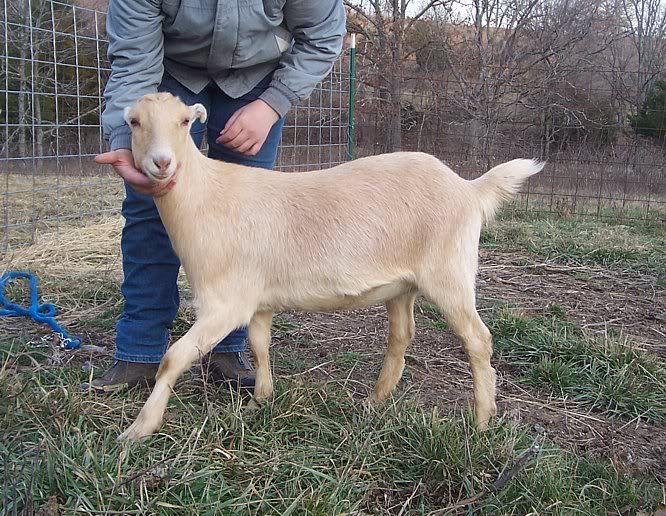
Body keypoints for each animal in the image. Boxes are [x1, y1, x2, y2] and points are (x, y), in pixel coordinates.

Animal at [114, 92, 543, 440]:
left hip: (449, 271)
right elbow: (259, 346)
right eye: (135, 122)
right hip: (403, 285)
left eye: (185, 122)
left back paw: (482, 421)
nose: (162, 163)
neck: (206, 196)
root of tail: (468, 187)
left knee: (478, 339)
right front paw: (259, 403)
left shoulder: (225, 302)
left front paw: (139, 429)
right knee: (402, 334)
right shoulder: (256, 300)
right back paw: (375, 401)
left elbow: (173, 358)